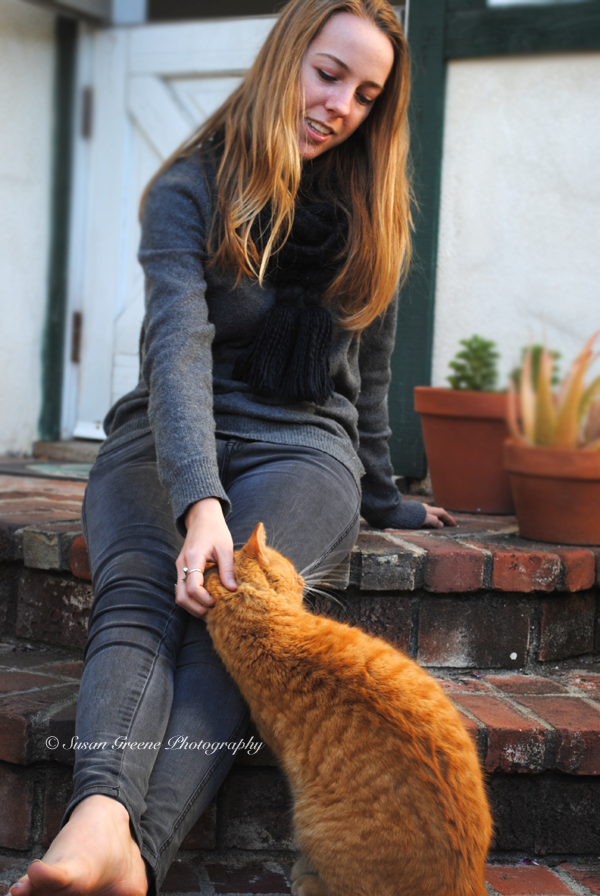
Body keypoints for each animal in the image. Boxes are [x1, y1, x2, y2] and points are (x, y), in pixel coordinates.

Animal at [205, 523, 492, 896]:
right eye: (292, 568)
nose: (303, 576)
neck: (266, 626)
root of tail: (466, 882)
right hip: (311, 821)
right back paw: (307, 880)